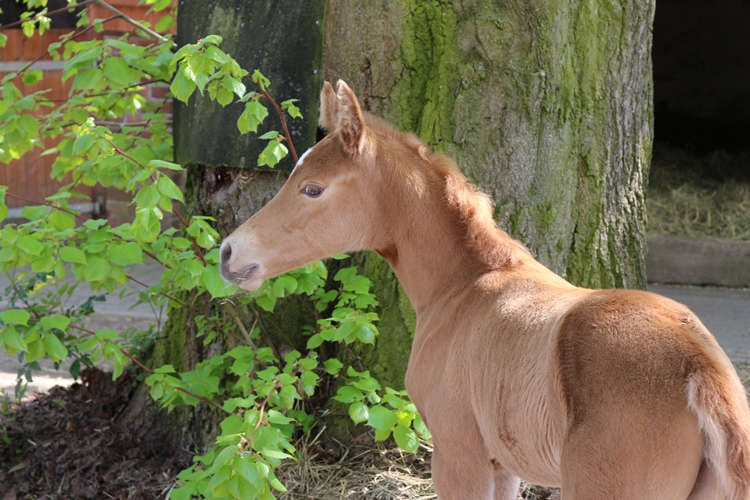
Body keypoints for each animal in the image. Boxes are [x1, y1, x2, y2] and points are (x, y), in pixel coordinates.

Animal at [220, 80, 750, 498]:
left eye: (313, 188)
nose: (228, 253)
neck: (465, 285)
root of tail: (699, 366)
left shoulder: (459, 454)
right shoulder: (503, 465)